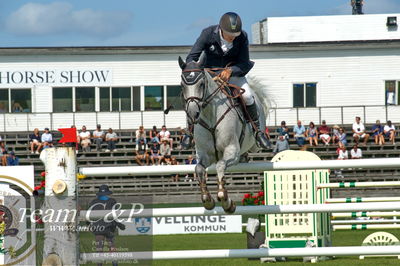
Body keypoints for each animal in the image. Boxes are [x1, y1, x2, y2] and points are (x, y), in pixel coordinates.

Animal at [179, 57, 268, 213]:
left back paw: (260, 139)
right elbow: (199, 169)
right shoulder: (204, 155)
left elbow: (220, 165)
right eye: (182, 85)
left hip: (255, 139)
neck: (210, 115)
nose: (193, 114)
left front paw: (225, 200)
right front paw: (207, 199)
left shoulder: (231, 150)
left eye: (201, 84)